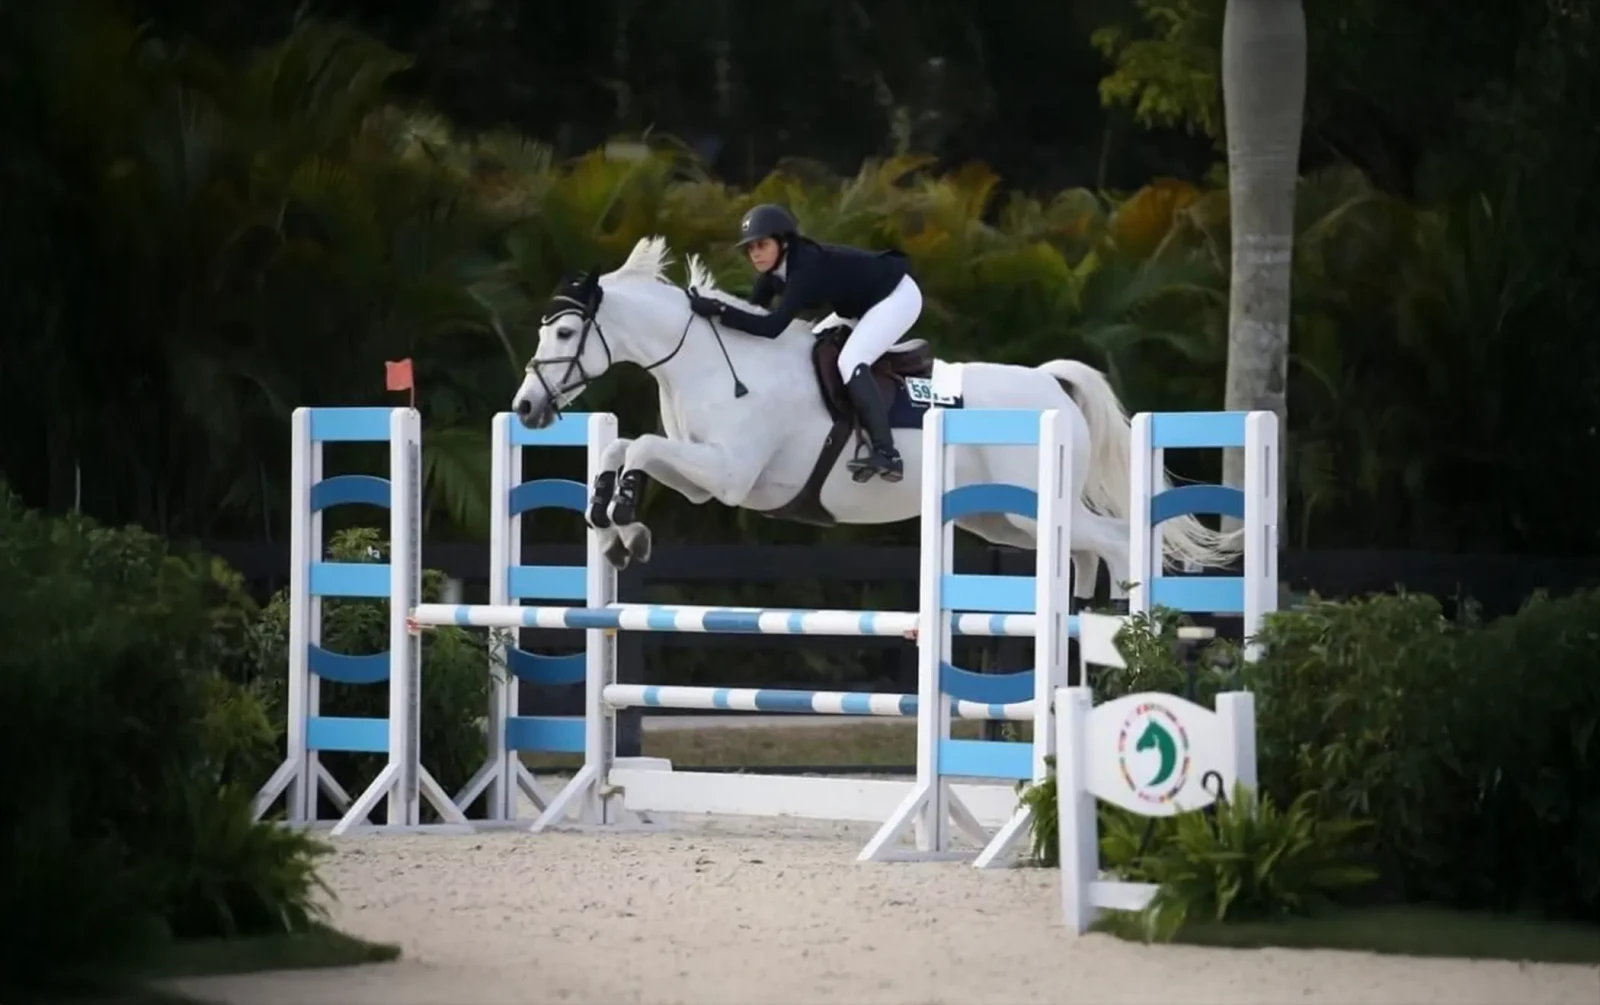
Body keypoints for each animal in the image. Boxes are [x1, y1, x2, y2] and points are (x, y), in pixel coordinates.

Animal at [510, 236, 1238, 598]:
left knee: (1115, 543)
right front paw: (612, 525)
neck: (711, 363)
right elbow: (622, 450)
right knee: (1083, 554)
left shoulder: (729, 474)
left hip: (1033, 508)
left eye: (567, 331)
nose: (524, 406)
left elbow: (636, 449)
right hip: (1001, 517)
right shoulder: (703, 477)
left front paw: (621, 525)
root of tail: (1051, 385)